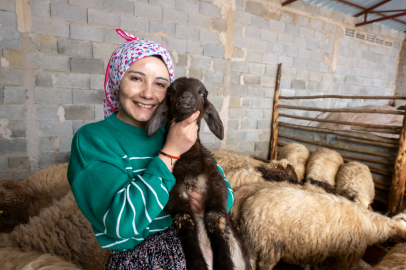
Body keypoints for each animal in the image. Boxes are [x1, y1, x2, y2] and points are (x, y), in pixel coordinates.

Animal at [230, 179, 406, 270]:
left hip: (254, 240)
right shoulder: (345, 256)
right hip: (269, 244)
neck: (372, 225)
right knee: (263, 265)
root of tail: (251, 199)